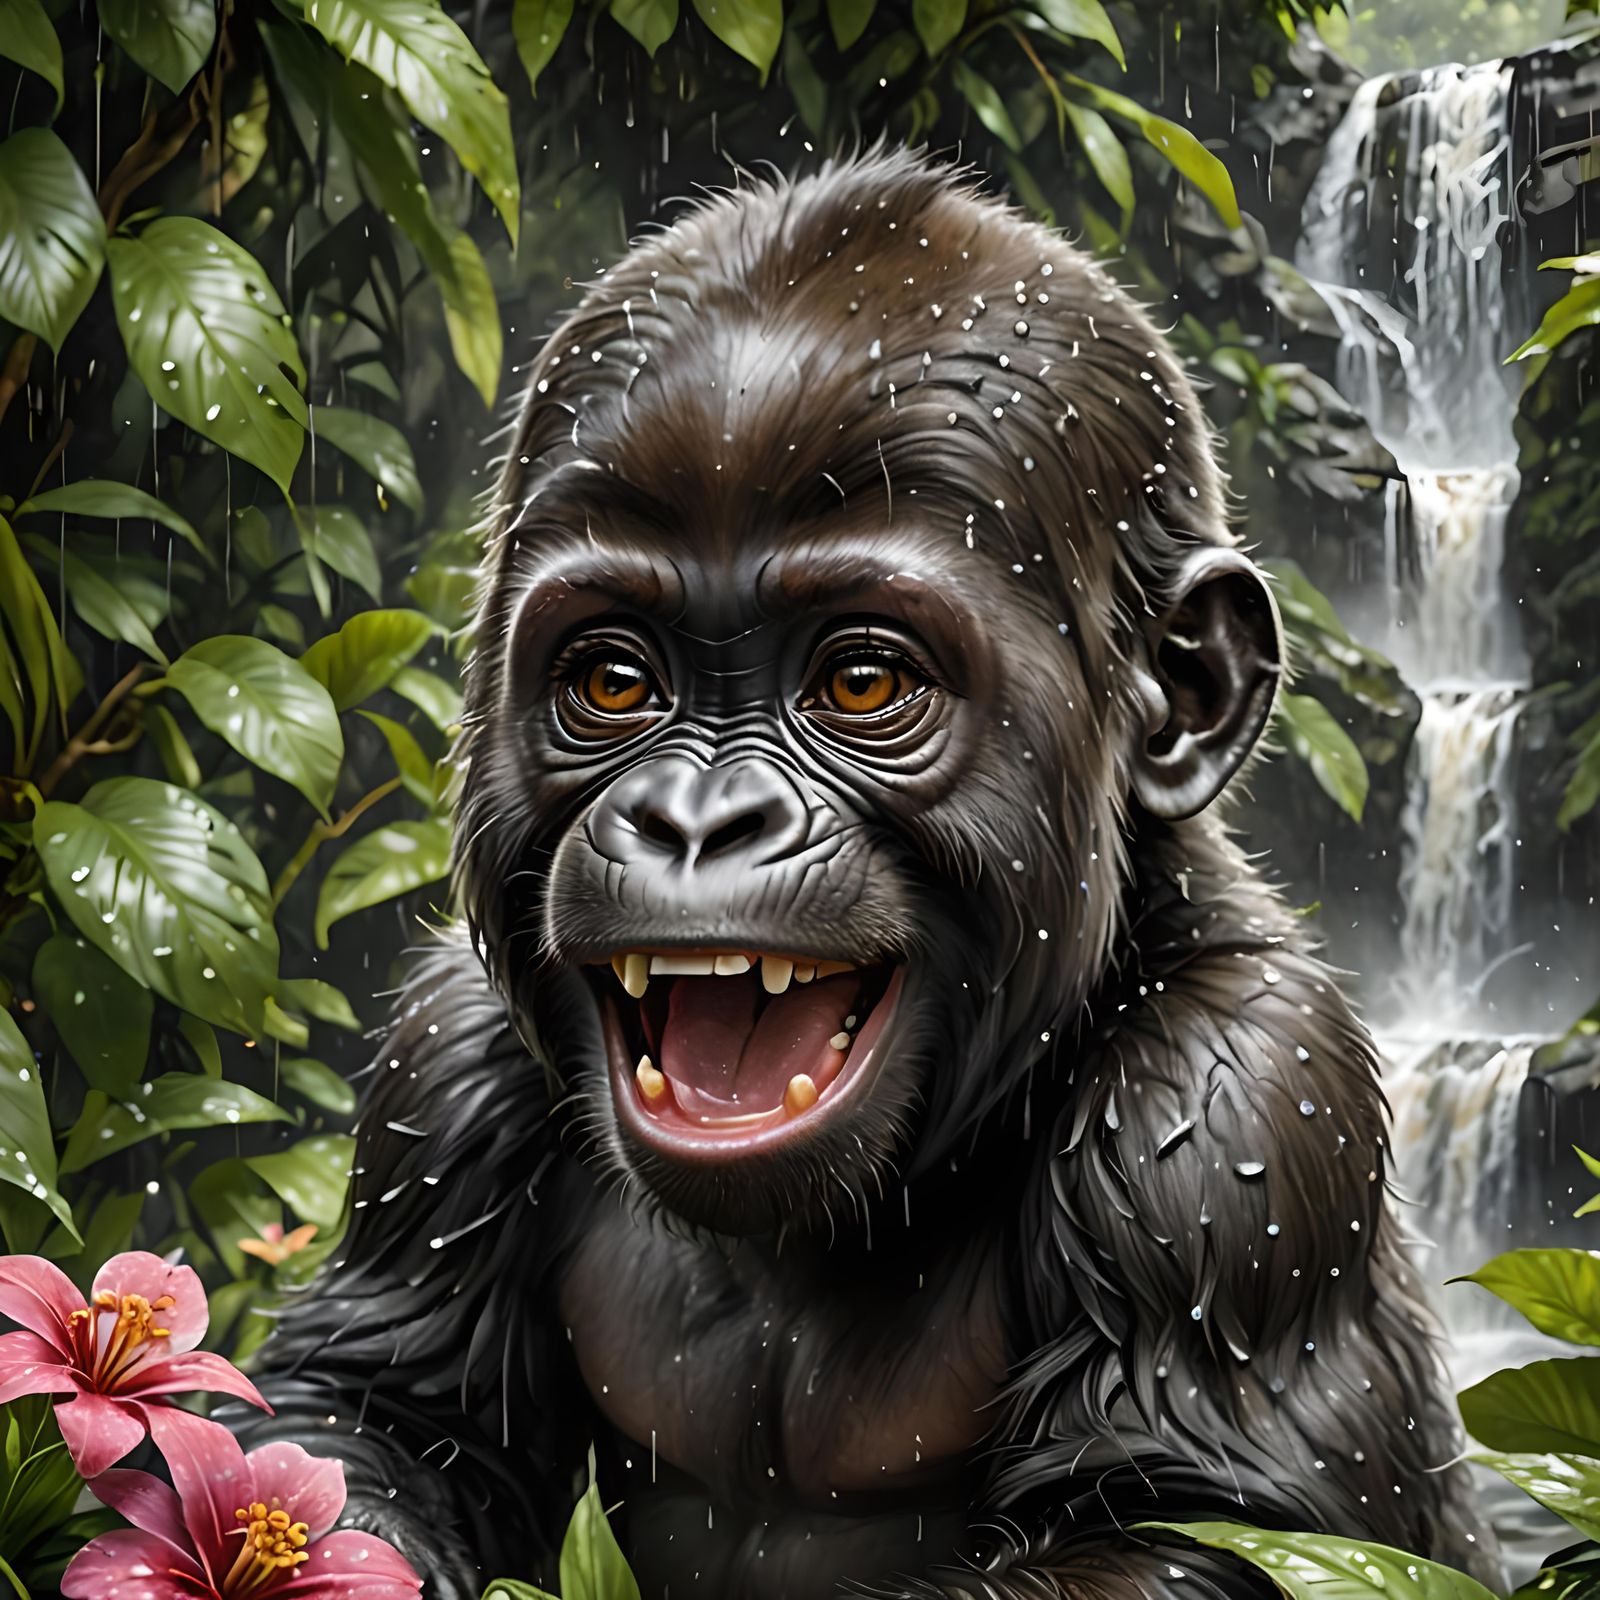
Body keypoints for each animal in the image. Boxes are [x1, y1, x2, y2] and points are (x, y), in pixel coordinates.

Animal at [240, 148, 1495, 1600]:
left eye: (860, 682)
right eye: (611, 681)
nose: (698, 822)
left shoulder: (1239, 1107)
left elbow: (1189, 1530)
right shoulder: (442, 1071)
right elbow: (370, 1412)